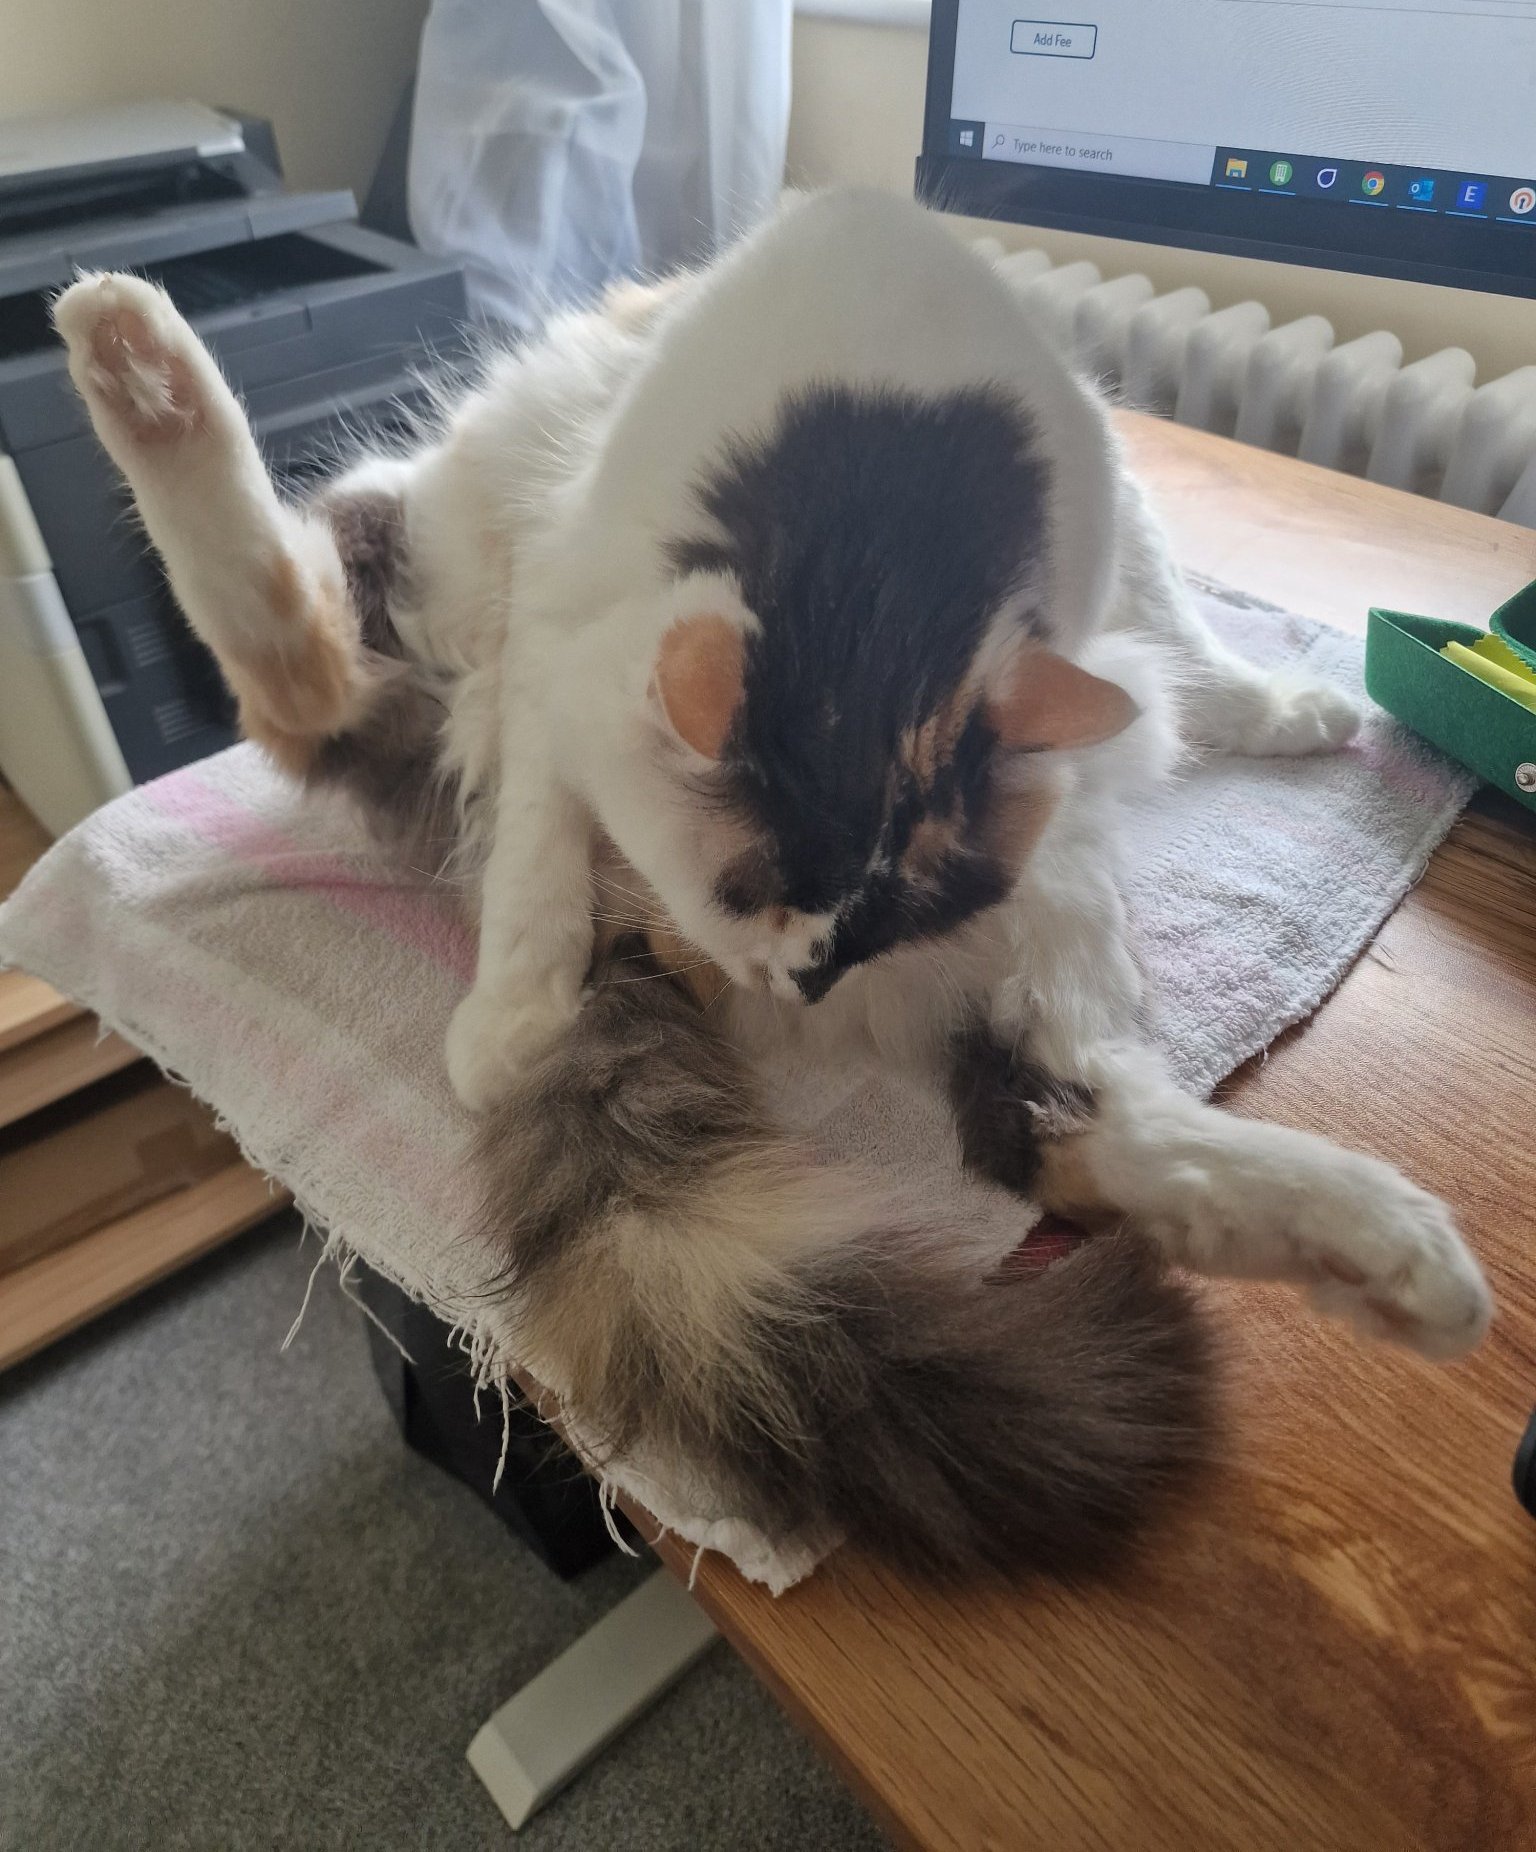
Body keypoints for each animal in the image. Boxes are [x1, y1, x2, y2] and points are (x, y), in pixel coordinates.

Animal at [53, 188, 1492, 1578]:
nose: (799, 966)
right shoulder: (580, 631)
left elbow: (1184, 635)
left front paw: (1280, 707)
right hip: (423, 576)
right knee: (302, 666)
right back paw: (137, 355)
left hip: (1042, 906)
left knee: (1069, 1131)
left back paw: (1400, 1256)